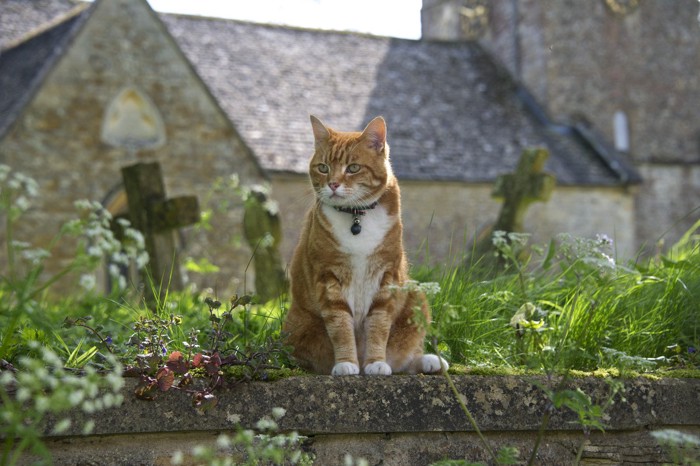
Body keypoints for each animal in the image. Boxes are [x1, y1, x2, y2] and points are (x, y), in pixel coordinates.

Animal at [282, 115, 446, 374]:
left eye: (353, 168)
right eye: (323, 168)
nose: (333, 184)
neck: (356, 216)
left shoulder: (387, 277)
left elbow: (379, 326)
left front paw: (376, 362)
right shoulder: (328, 277)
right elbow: (340, 326)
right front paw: (346, 363)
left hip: (415, 295)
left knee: (404, 357)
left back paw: (429, 361)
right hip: (299, 325)